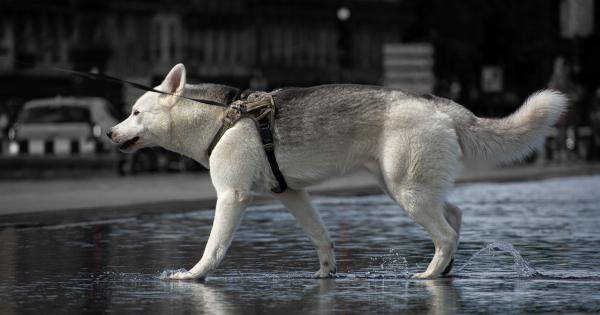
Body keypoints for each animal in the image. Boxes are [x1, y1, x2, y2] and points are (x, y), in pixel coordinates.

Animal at [106, 63, 568, 278]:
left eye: (135, 112)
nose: (109, 133)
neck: (220, 118)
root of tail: (438, 103)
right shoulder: (291, 194)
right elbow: (321, 237)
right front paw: (327, 273)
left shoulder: (232, 197)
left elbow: (214, 247)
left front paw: (194, 276)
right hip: (404, 186)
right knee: (455, 215)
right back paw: (447, 269)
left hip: (407, 193)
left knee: (446, 233)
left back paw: (431, 274)